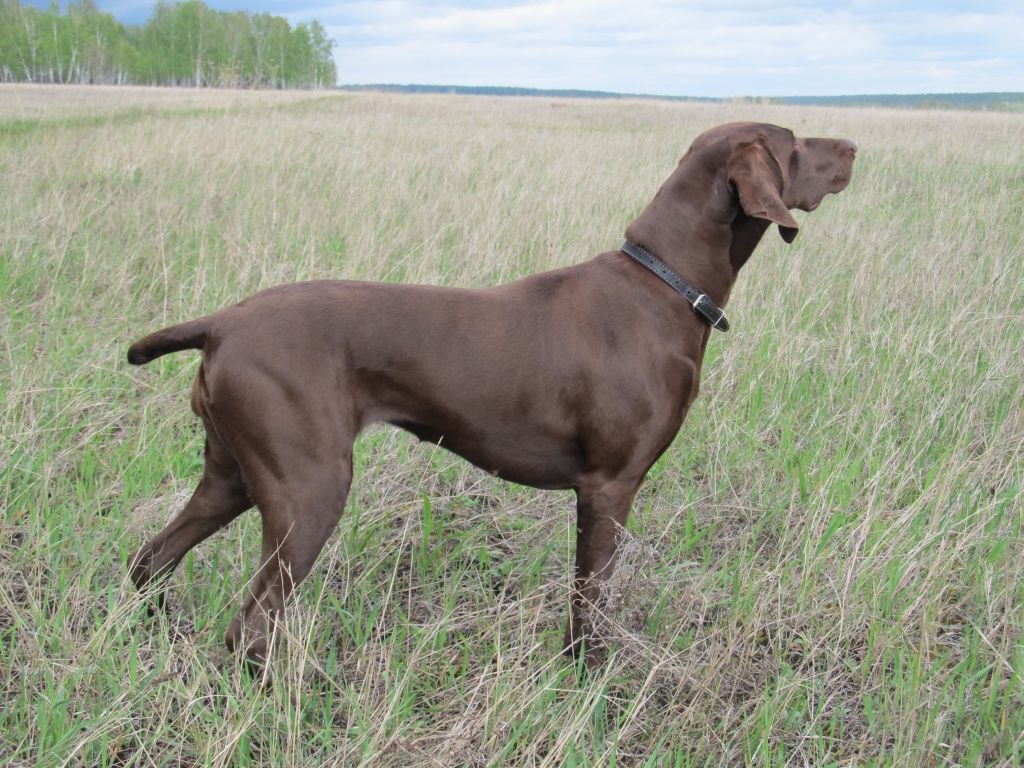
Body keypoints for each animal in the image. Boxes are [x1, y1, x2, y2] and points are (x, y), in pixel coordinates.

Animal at [127, 122, 856, 668]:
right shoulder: (608, 489)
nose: (853, 146)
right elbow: (588, 609)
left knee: (150, 560)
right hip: (308, 490)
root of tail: (223, 323)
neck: (663, 285)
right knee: (250, 622)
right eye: (793, 141)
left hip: (233, 476)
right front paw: (588, 687)